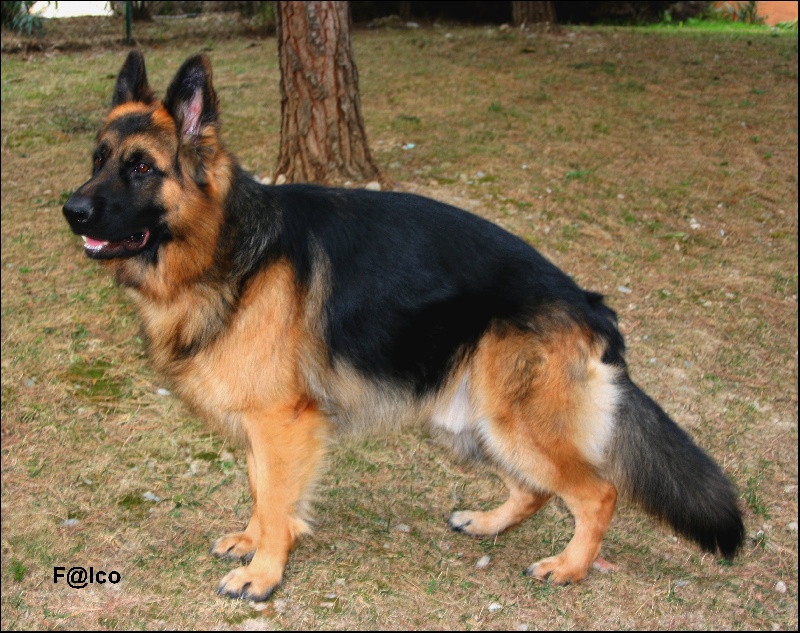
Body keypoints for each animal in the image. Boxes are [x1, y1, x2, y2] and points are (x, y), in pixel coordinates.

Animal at [62, 51, 744, 600]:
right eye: (97, 159)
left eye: (141, 168)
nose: (71, 209)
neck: (227, 247)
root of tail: (588, 303)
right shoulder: (262, 424)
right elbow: (261, 489)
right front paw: (254, 541)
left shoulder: (282, 422)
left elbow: (277, 497)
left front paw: (264, 573)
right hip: (469, 425)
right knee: (538, 490)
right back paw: (489, 524)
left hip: (513, 422)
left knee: (597, 493)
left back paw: (569, 567)